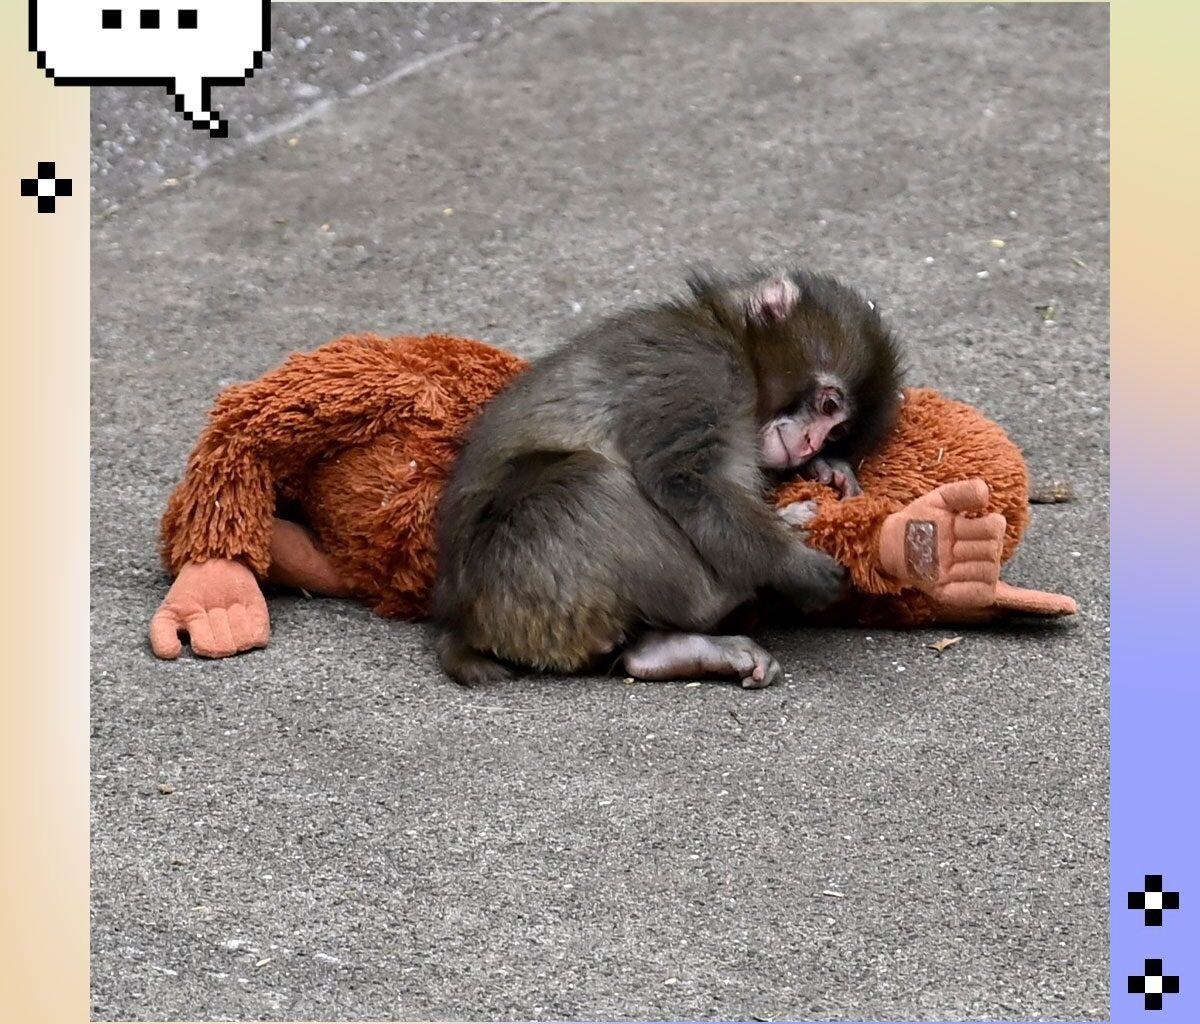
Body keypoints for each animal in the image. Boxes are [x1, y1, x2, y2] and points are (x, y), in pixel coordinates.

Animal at [431, 266, 903, 689]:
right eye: (828, 406)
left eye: (837, 432)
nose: (810, 444)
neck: (733, 342)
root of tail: (461, 622)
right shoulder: (700, 369)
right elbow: (684, 479)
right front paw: (793, 566)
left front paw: (827, 469)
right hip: (520, 575)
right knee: (590, 482)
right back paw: (730, 591)